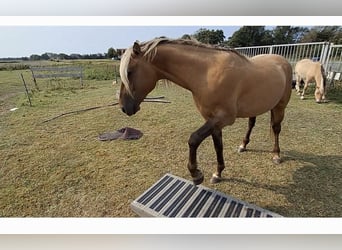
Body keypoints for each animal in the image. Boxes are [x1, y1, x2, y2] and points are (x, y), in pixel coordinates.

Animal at [119, 37, 292, 186]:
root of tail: (282, 61)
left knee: (276, 128)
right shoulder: (213, 120)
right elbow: (218, 146)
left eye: (129, 72)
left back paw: (276, 155)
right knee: (251, 123)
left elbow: (194, 139)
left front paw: (196, 174)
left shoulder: (224, 118)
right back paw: (243, 145)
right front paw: (218, 173)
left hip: (280, 106)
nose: (123, 107)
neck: (207, 74)